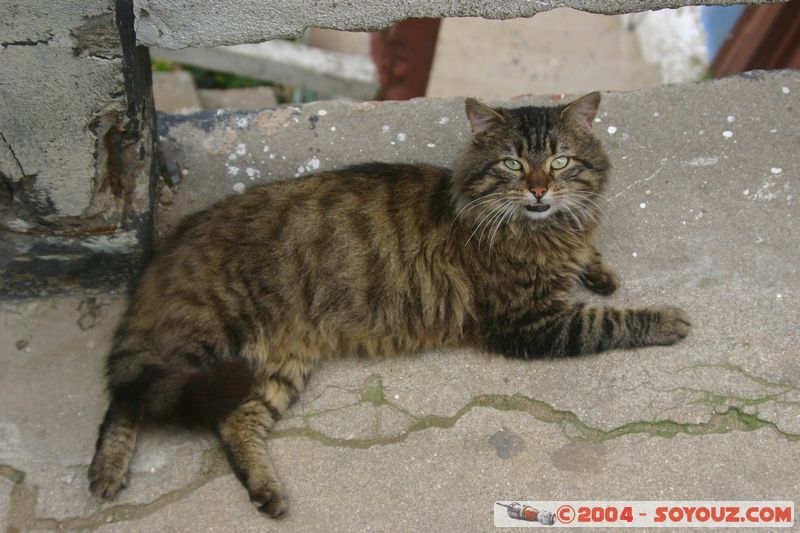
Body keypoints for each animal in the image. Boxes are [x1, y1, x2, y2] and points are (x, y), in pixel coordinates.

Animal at [87, 91, 688, 516]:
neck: (540, 228)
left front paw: (599, 270)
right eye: (514, 165)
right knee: (129, 396)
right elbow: (608, 322)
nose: (540, 190)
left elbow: (591, 263)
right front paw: (665, 318)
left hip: (275, 366)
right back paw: (108, 471)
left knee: (233, 422)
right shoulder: (528, 323)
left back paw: (266, 492)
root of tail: (175, 240)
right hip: (208, 340)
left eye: (560, 162)